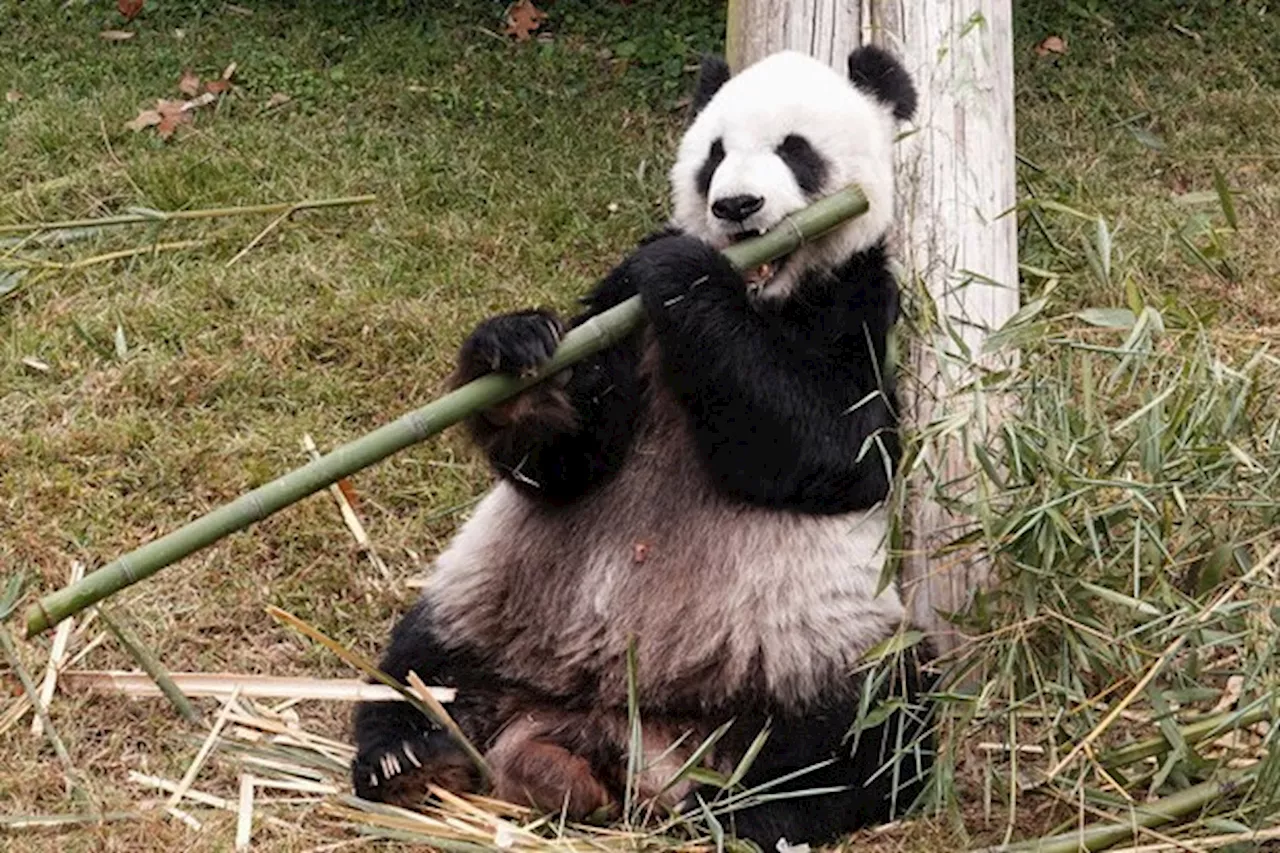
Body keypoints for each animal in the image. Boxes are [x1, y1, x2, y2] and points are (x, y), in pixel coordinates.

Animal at [350, 48, 931, 850]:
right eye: (714, 155)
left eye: (795, 150)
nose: (735, 207)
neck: (763, 292)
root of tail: (618, 737)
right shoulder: (620, 308)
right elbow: (566, 462)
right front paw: (519, 354)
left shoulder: (859, 304)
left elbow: (841, 453)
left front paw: (684, 270)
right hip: (492, 606)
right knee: (419, 662)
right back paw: (411, 756)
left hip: (819, 644)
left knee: (873, 727)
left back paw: (756, 811)